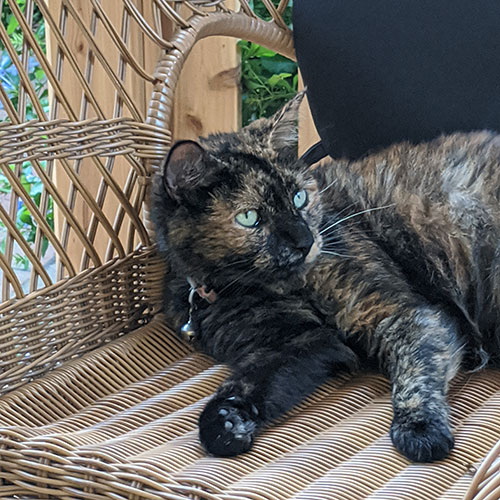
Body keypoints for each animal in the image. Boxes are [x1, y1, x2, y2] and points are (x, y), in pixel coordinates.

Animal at [151, 93, 500, 460]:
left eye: (299, 197)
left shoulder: (400, 314)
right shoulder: (298, 342)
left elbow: (416, 369)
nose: (305, 241)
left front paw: (420, 427)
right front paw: (226, 423)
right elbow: (249, 383)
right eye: (250, 217)